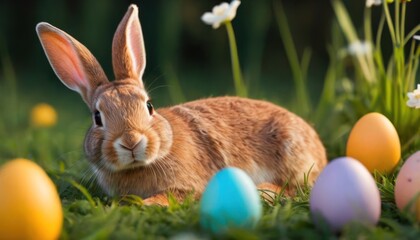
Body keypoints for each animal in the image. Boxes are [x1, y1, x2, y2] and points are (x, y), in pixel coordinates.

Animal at [36, 4, 326, 205]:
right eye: (97, 117)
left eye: (149, 107)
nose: (131, 141)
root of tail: (320, 150)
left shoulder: (189, 186)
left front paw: (146, 204)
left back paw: (262, 190)